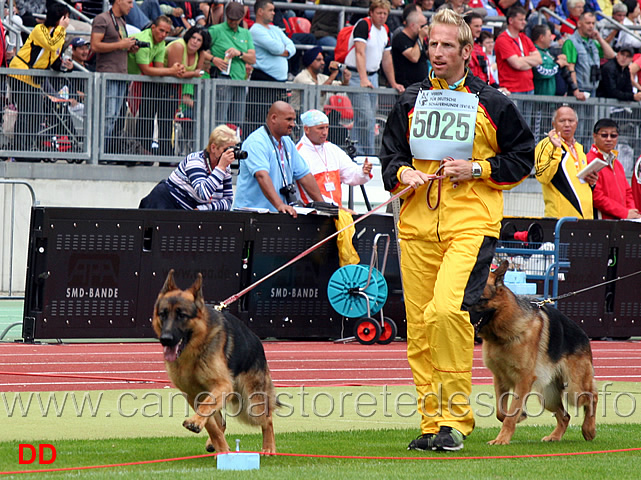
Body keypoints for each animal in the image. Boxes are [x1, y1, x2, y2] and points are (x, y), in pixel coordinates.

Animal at [153, 270, 280, 454]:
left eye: (182, 315)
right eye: (162, 314)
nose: (166, 339)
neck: (193, 351)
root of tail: (257, 340)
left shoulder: (223, 385)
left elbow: (207, 408)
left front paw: (198, 424)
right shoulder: (192, 394)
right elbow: (211, 423)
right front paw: (218, 444)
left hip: (252, 404)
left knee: (267, 419)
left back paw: (269, 448)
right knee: (222, 422)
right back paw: (216, 444)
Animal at [472, 260, 596, 444]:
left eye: (481, 300)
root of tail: (584, 335)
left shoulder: (523, 380)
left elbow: (509, 414)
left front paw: (502, 439)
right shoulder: (500, 378)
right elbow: (502, 412)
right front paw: (519, 416)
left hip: (575, 389)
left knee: (592, 396)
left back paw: (589, 429)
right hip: (546, 394)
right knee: (565, 416)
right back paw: (555, 436)